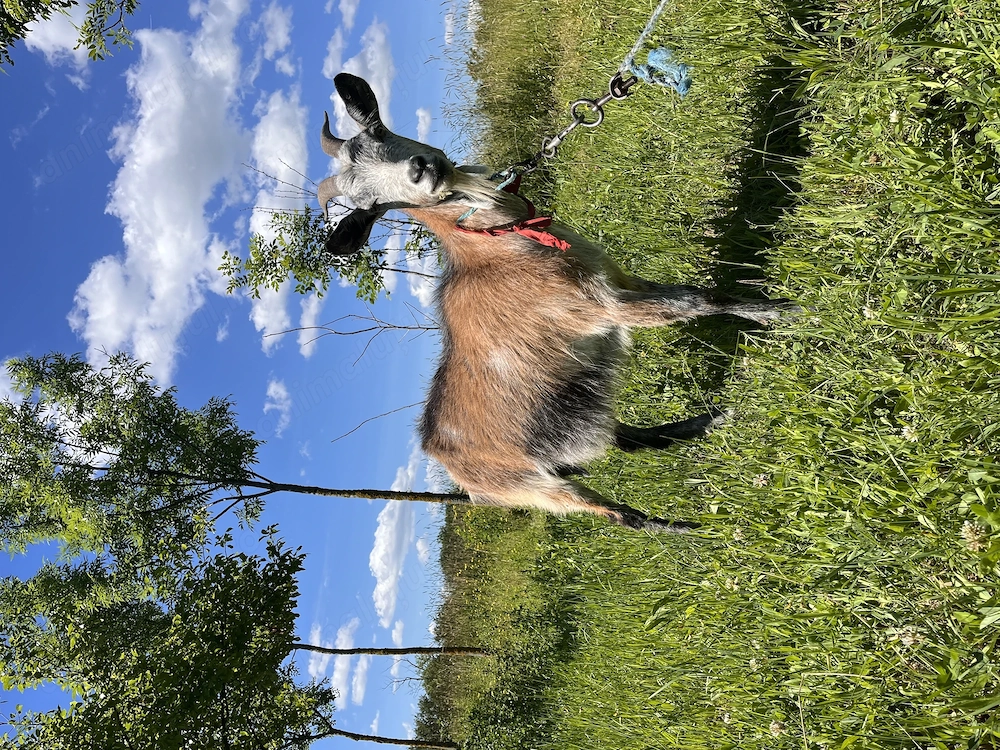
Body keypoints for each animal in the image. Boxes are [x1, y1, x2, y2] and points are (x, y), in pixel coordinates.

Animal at [317, 73, 795, 532]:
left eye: (379, 131)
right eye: (370, 205)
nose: (421, 170)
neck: (499, 244)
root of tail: (456, 473)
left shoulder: (617, 279)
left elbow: (698, 295)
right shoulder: (604, 307)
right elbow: (699, 302)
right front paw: (783, 311)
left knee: (623, 439)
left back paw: (710, 422)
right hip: (534, 486)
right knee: (618, 512)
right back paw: (685, 529)